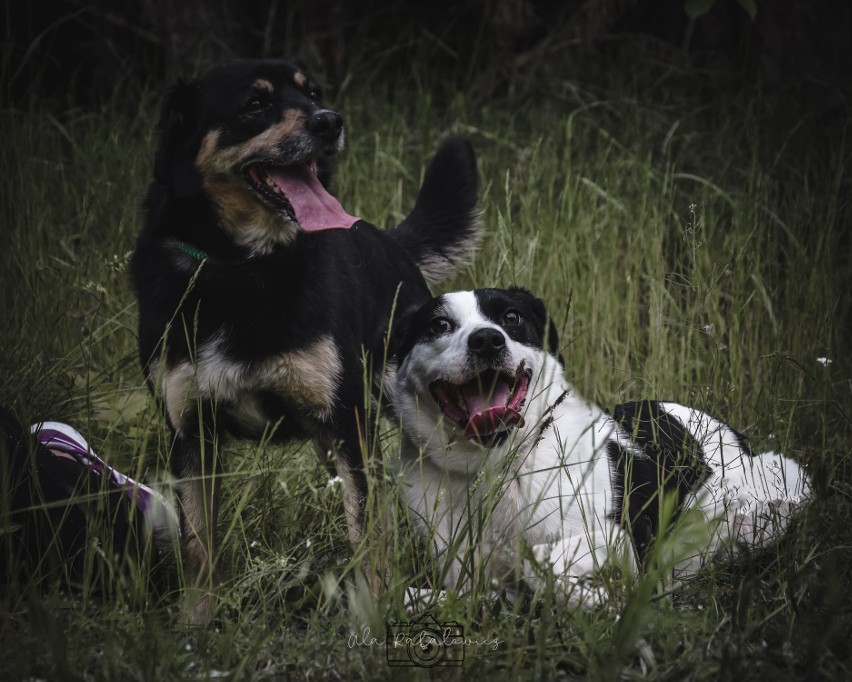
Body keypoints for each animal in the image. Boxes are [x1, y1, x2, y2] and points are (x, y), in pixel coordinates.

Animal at [131, 58, 482, 620]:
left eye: (312, 92)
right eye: (255, 104)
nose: (329, 122)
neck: (245, 268)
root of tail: (386, 239)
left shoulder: (345, 423)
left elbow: (368, 536)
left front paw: (372, 621)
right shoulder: (190, 435)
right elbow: (198, 550)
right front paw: (196, 625)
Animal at [392, 284, 812, 604]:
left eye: (511, 318)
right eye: (439, 324)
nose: (486, 340)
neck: (494, 464)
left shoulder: (624, 538)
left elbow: (536, 559)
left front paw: (594, 599)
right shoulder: (460, 573)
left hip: (775, 491)